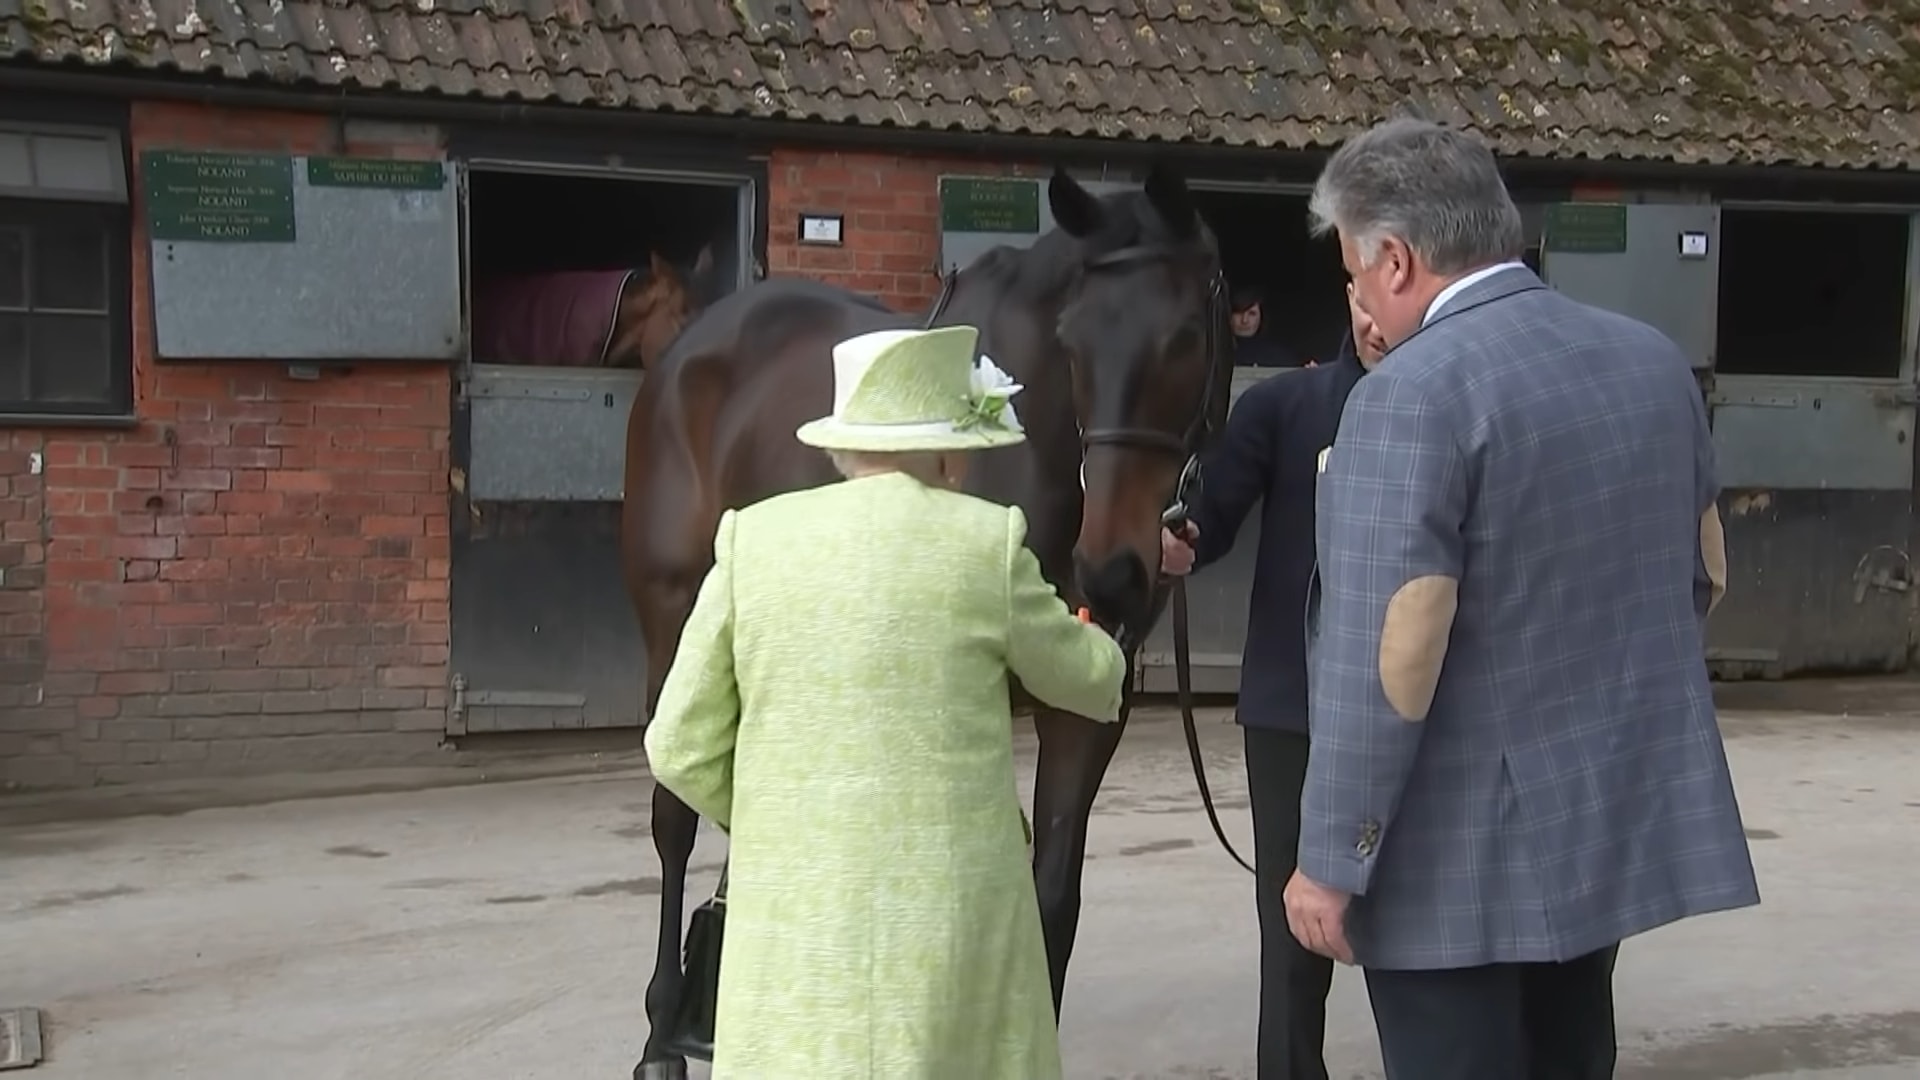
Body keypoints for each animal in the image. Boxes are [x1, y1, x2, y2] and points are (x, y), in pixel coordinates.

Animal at [622, 164, 1236, 1068]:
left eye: (1189, 337)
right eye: (1074, 342)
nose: (1112, 567)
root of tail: (693, 345)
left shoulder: (1090, 707)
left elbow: (1052, 896)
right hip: (675, 627)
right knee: (673, 820)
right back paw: (664, 1035)